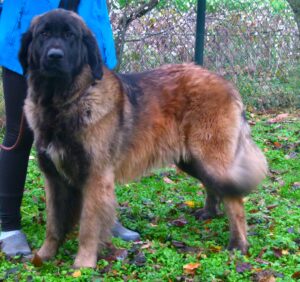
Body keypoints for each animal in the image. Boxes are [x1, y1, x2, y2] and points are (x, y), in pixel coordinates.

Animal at [18, 9, 268, 268]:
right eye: (43, 34)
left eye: (70, 36)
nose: (54, 56)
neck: (63, 102)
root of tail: (226, 83)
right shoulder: (54, 177)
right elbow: (53, 224)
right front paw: (43, 256)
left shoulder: (95, 176)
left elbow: (88, 225)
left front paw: (83, 264)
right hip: (192, 160)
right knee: (215, 186)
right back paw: (209, 212)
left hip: (210, 157)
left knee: (234, 199)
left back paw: (238, 244)